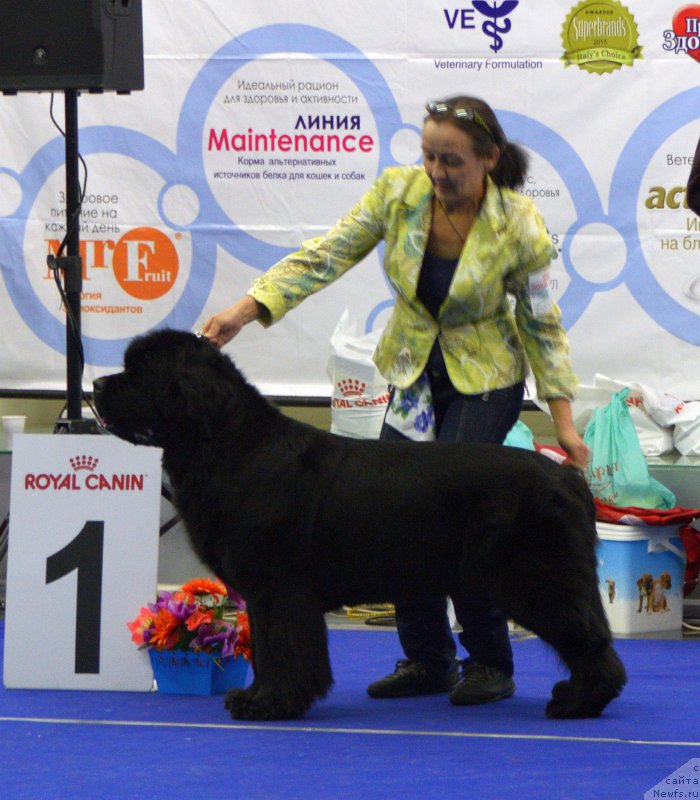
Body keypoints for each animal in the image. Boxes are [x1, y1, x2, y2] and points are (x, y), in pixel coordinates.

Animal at [93, 328, 624, 720]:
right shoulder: (265, 592)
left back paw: (580, 702)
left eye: (139, 371)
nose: (96, 387)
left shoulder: (280, 586)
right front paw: (257, 696)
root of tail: (568, 475)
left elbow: (283, 646)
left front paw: (272, 704)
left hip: (536, 577)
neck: (228, 445)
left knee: (588, 637)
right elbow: (264, 646)